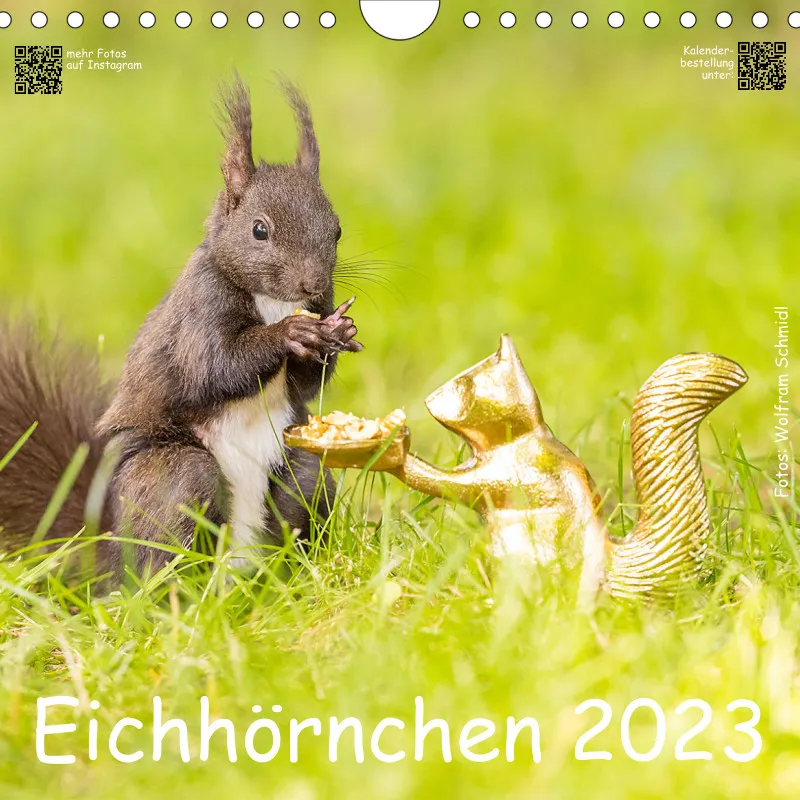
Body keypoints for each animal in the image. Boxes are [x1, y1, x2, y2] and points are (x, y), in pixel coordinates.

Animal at [0, 77, 361, 579]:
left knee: (302, 486)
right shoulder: (200, 310)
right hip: (172, 478)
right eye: (259, 230)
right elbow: (214, 367)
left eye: (338, 230)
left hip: (301, 476)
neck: (274, 302)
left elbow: (306, 386)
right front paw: (289, 336)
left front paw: (338, 333)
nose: (314, 283)